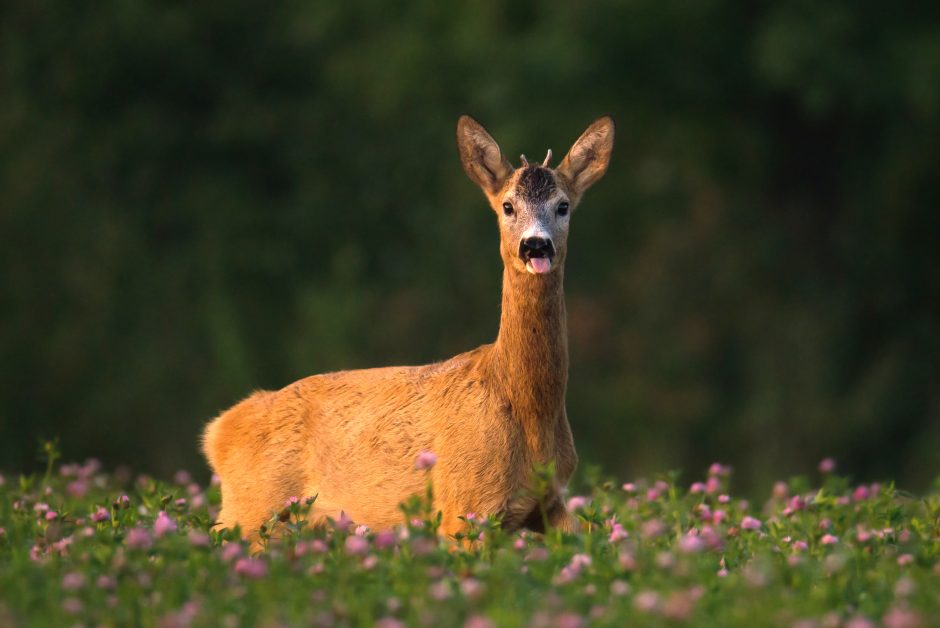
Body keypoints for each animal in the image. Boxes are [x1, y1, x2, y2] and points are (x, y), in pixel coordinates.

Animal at [204, 115, 616, 544]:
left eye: (563, 206)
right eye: (507, 206)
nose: (536, 245)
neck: (526, 411)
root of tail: (218, 430)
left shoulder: (551, 501)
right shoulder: (462, 508)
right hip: (250, 510)